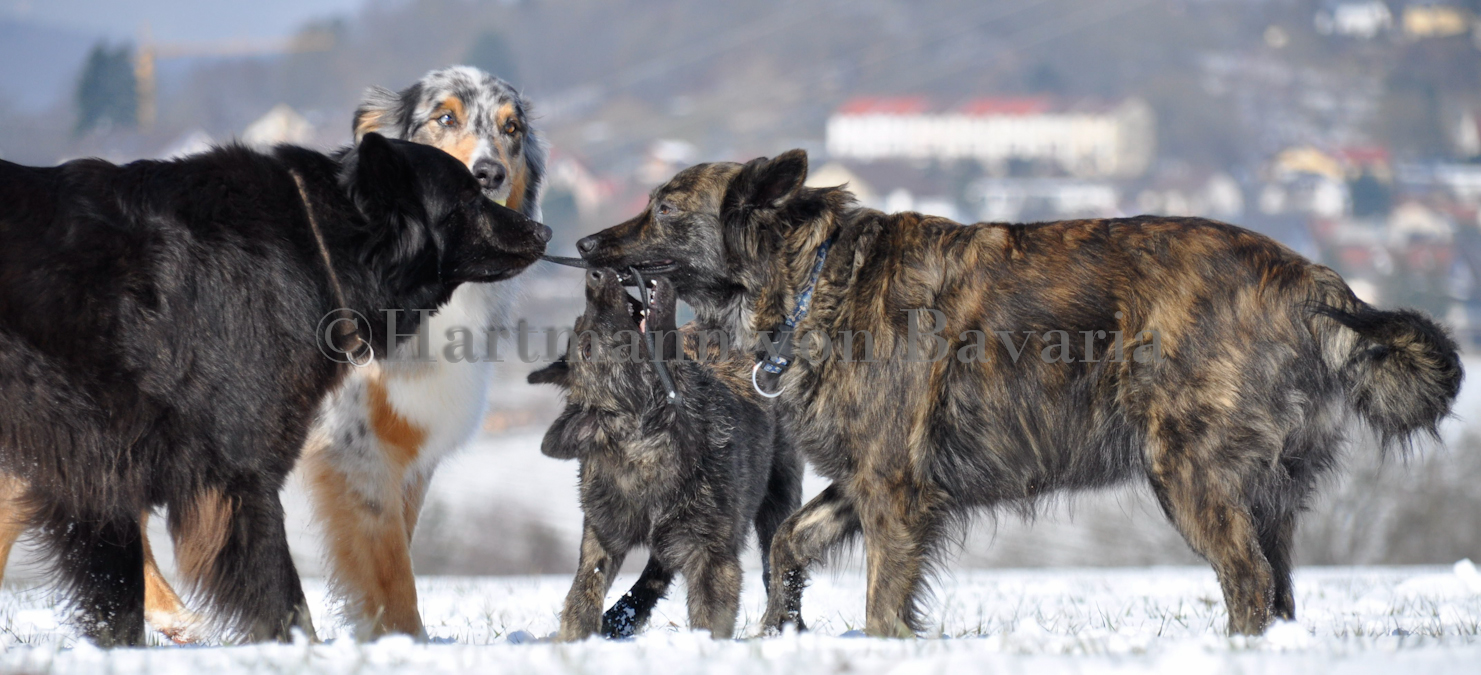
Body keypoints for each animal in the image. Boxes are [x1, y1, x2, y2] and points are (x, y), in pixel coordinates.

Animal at [0, 133, 550, 648]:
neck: (320, 243)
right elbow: (282, 600)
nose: (543, 230)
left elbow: (114, 598)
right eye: (468, 198)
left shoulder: (96, 469)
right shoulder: (237, 475)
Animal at [533, 267, 787, 639]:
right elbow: (583, 593)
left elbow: (708, 623)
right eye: (587, 347)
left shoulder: (712, 559)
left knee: (776, 564)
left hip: (778, 494)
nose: (594, 274)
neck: (650, 447)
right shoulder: (601, 537)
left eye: (582, 326)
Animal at [571, 150, 1463, 636]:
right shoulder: (866, 480)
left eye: (661, 208)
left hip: (1187, 472)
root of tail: (1310, 280)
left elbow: (881, 599)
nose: (581, 244)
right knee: (1276, 588)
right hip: (1262, 494)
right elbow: (788, 543)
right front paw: (780, 629)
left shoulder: (893, 490)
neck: (816, 278)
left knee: (1245, 580)